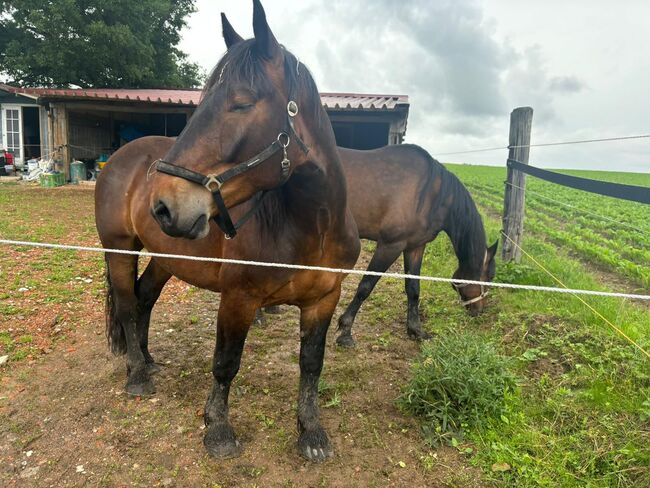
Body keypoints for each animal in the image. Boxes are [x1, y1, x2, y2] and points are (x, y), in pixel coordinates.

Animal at [95, 0, 356, 462]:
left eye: (241, 103)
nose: (162, 205)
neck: (313, 228)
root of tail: (119, 159)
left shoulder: (324, 299)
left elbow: (311, 363)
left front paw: (311, 431)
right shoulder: (238, 299)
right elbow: (226, 362)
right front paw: (217, 428)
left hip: (166, 258)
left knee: (144, 300)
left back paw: (146, 358)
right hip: (119, 249)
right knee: (126, 306)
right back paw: (138, 376)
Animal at [334, 145, 496, 346]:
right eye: (489, 278)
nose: (479, 310)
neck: (430, 194)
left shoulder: (415, 247)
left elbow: (413, 288)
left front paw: (416, 330)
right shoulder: (390, 245)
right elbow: (365, 286)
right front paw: (345, 330)